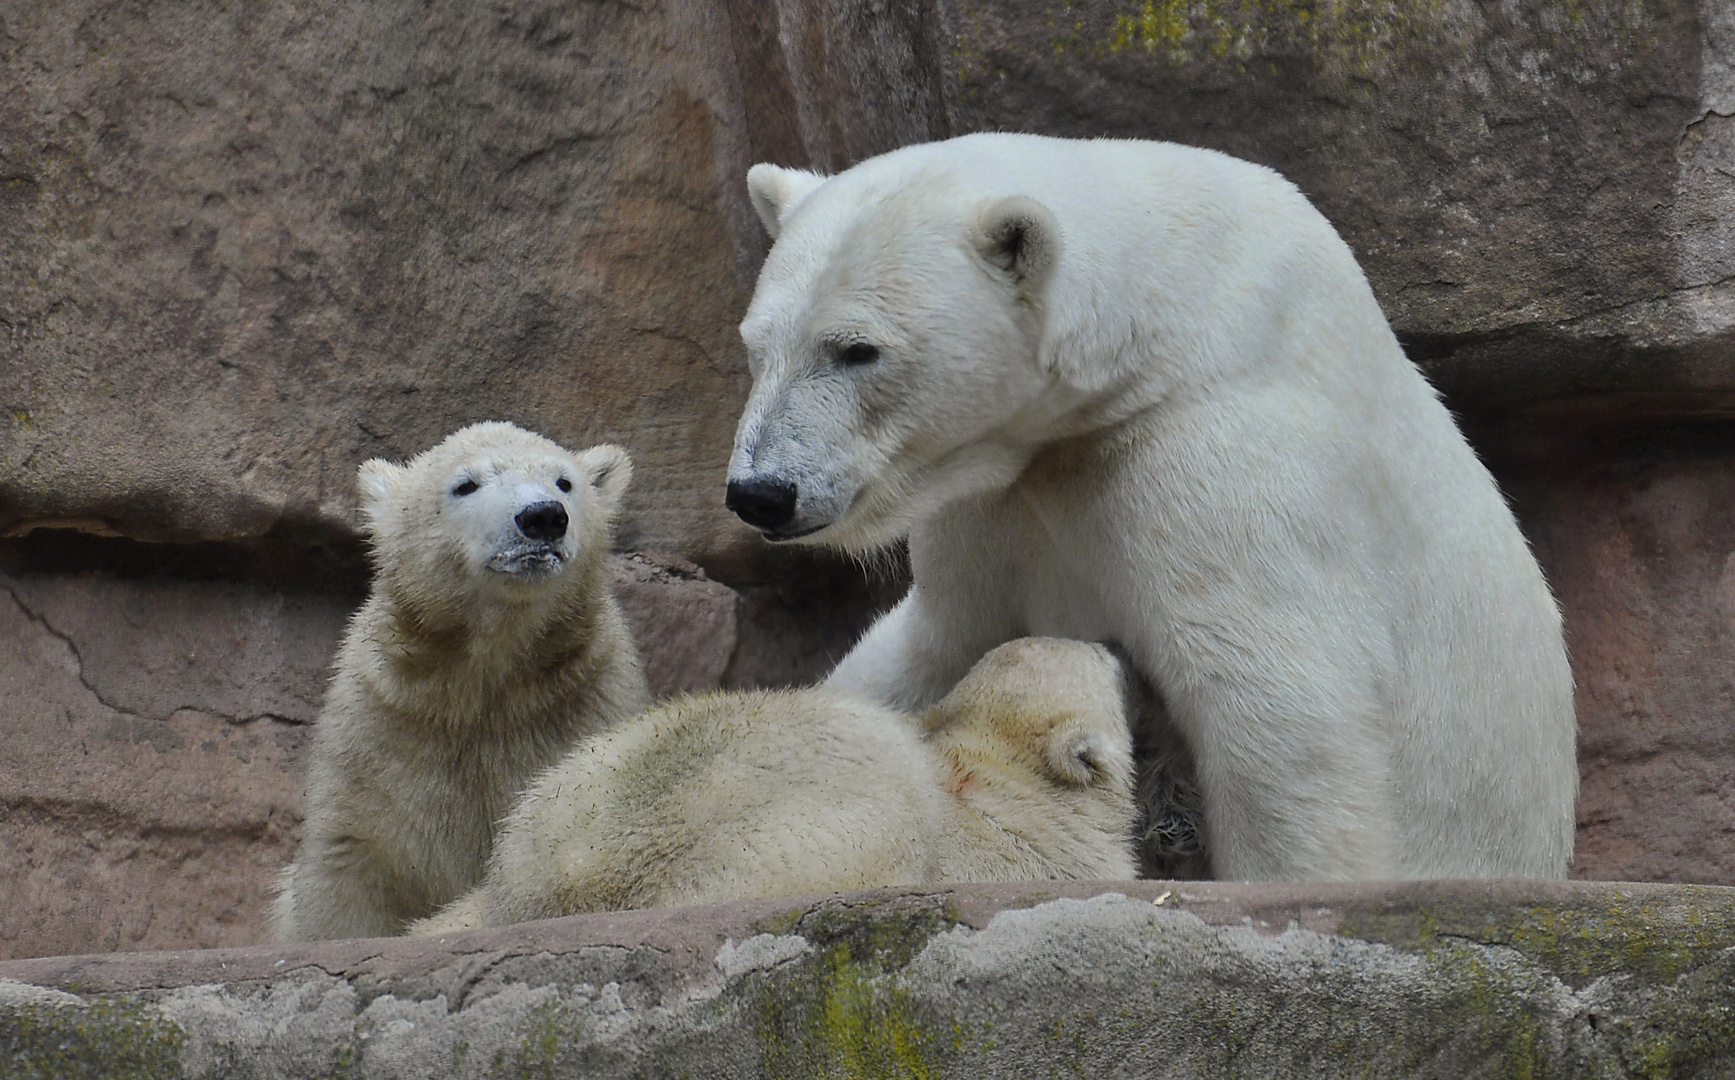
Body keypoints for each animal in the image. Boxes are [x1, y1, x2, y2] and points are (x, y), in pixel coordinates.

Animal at [270, 423, 652, 944]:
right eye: (466, 484)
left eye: (564, 482)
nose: (543, 517)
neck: (484, 684)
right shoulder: (381, 726)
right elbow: (348, 864)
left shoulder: (588, 702)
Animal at [725, 133, 1582, 889]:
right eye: (755, 345)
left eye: (856, 349)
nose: (760, 492)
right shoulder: (1001, 496)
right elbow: (939, 636)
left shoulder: (1212, 455)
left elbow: (1281, 707)